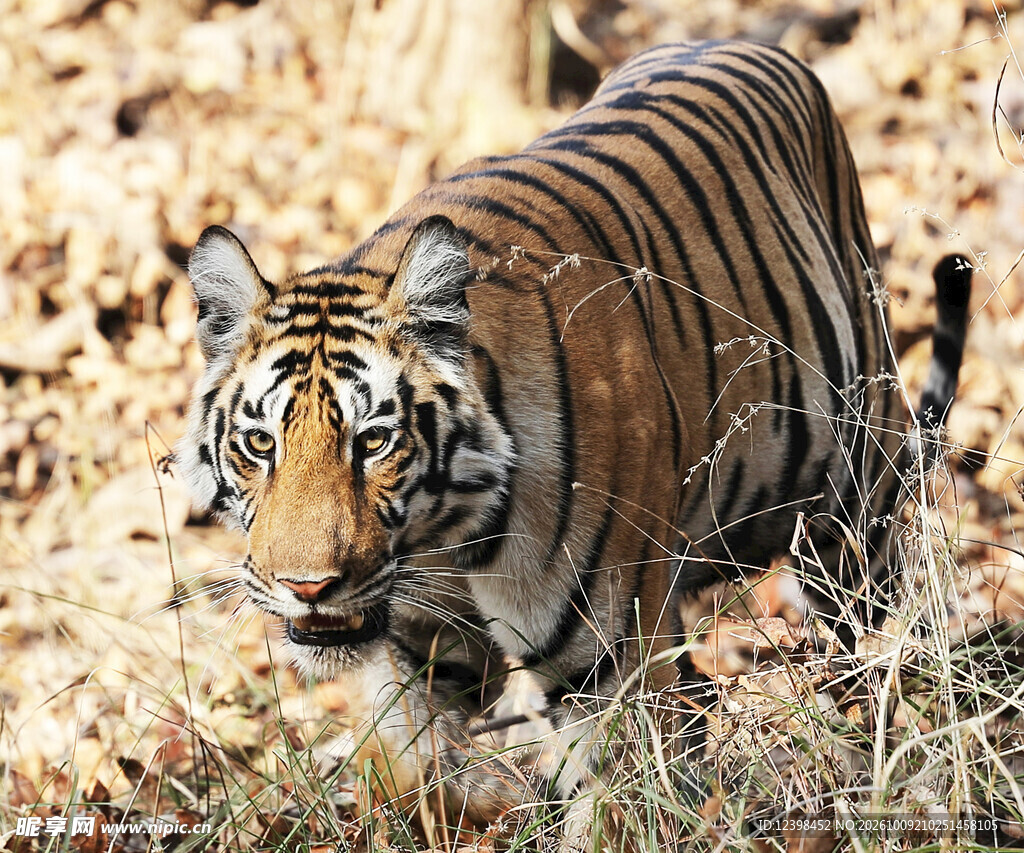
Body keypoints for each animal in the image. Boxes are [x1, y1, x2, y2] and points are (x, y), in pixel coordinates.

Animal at [176, 40, 972, 828]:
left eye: (373, 442)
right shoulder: (412, 644)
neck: (444, 533)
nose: (307, 588)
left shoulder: (603, 662)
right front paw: (487, 796)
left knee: (883, 657)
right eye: (260, 444)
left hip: (855, 521)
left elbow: (611, 798)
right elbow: (420, 768)